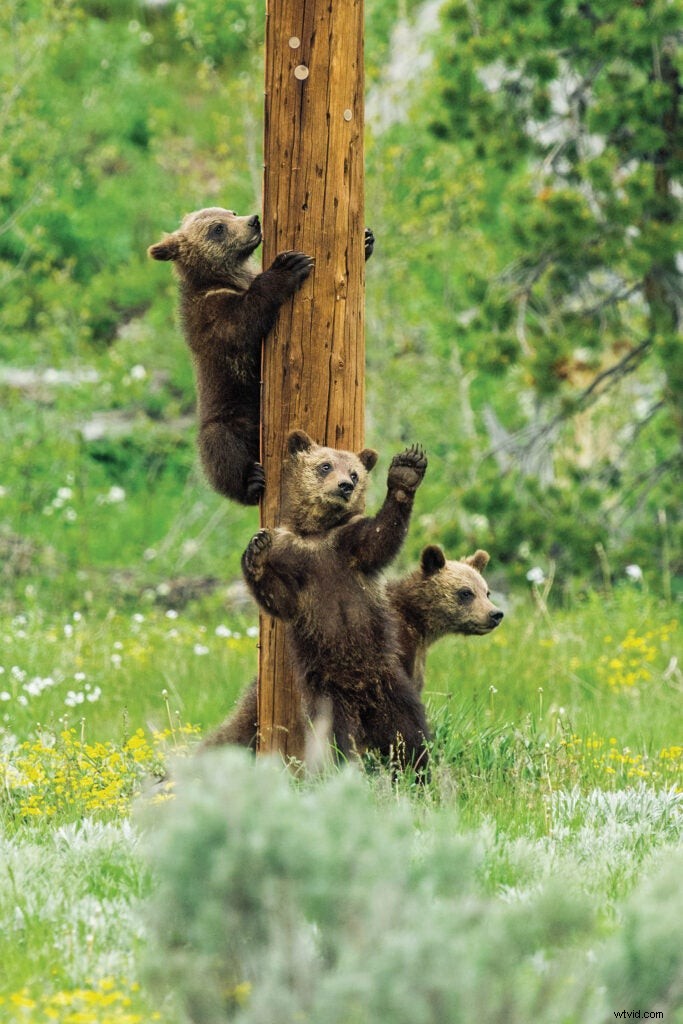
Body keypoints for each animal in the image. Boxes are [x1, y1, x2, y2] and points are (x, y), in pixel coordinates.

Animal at [149, 209, 375, 506]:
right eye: (217, 228)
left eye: (229, 212)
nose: (253, 221)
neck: (227, 279)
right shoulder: (211, 315)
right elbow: (242, 321)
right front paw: (289, 265)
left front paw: (366, 240)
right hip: (230, 415)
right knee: (220, 448)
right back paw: (251, 482)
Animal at [240, 429, 430, 770]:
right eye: (325, 465)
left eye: (354, 472)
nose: (345, 486)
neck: (317, 533)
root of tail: (362, 700)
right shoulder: (296, 564)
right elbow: (280, 600)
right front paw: (256, 549)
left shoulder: (349, 546)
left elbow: (381, 536)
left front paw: (407, 469)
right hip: (328, 697)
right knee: (337, 739)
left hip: (391, 683)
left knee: (408, 732)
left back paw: (416, 769)